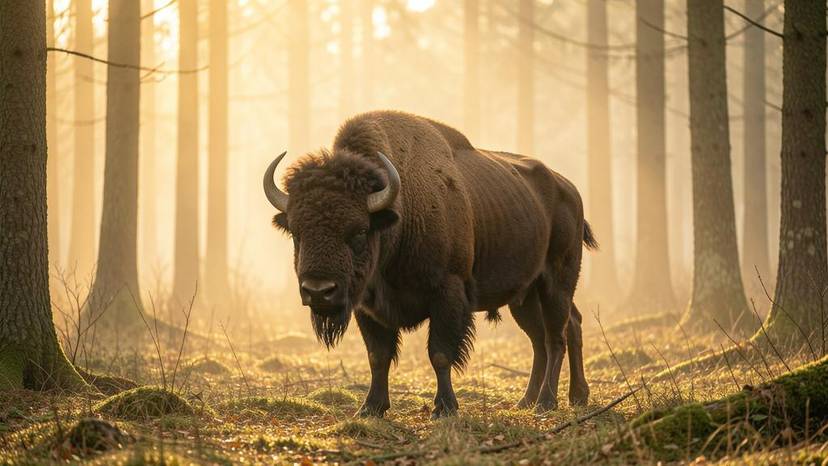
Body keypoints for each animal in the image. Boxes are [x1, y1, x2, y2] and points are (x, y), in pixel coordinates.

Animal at [264, 111, 594, 417]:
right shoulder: (367, 305)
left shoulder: (447, 294)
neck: (399, 212)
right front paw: (371, 408)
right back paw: (547, 399)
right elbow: (378, 356)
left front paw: (445, 408)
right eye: (296, 232)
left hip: (557, 282)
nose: (318, 291)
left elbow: (440, 354)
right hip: (524, 297)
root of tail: (570, 190)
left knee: (556, 336)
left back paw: (546, 402)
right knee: (553, 333)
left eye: (358, 231)